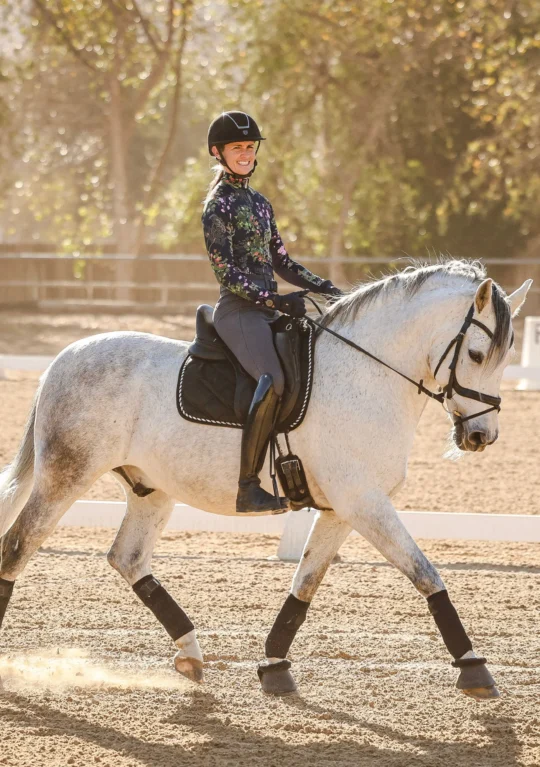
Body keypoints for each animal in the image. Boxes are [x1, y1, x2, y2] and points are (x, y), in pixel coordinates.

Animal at [0, 259, 531, 700]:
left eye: (505, 358)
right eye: (478, 354)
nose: (481, 436)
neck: (366, 374)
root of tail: (61, 360)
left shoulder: (342, 508)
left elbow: (305, 585)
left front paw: (274, 667)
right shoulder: (364, 502)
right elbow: (426, 574)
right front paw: (474, 667)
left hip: (150, 489)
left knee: (126, 559)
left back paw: (191, 654)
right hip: (67, 475)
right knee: (18, 547)